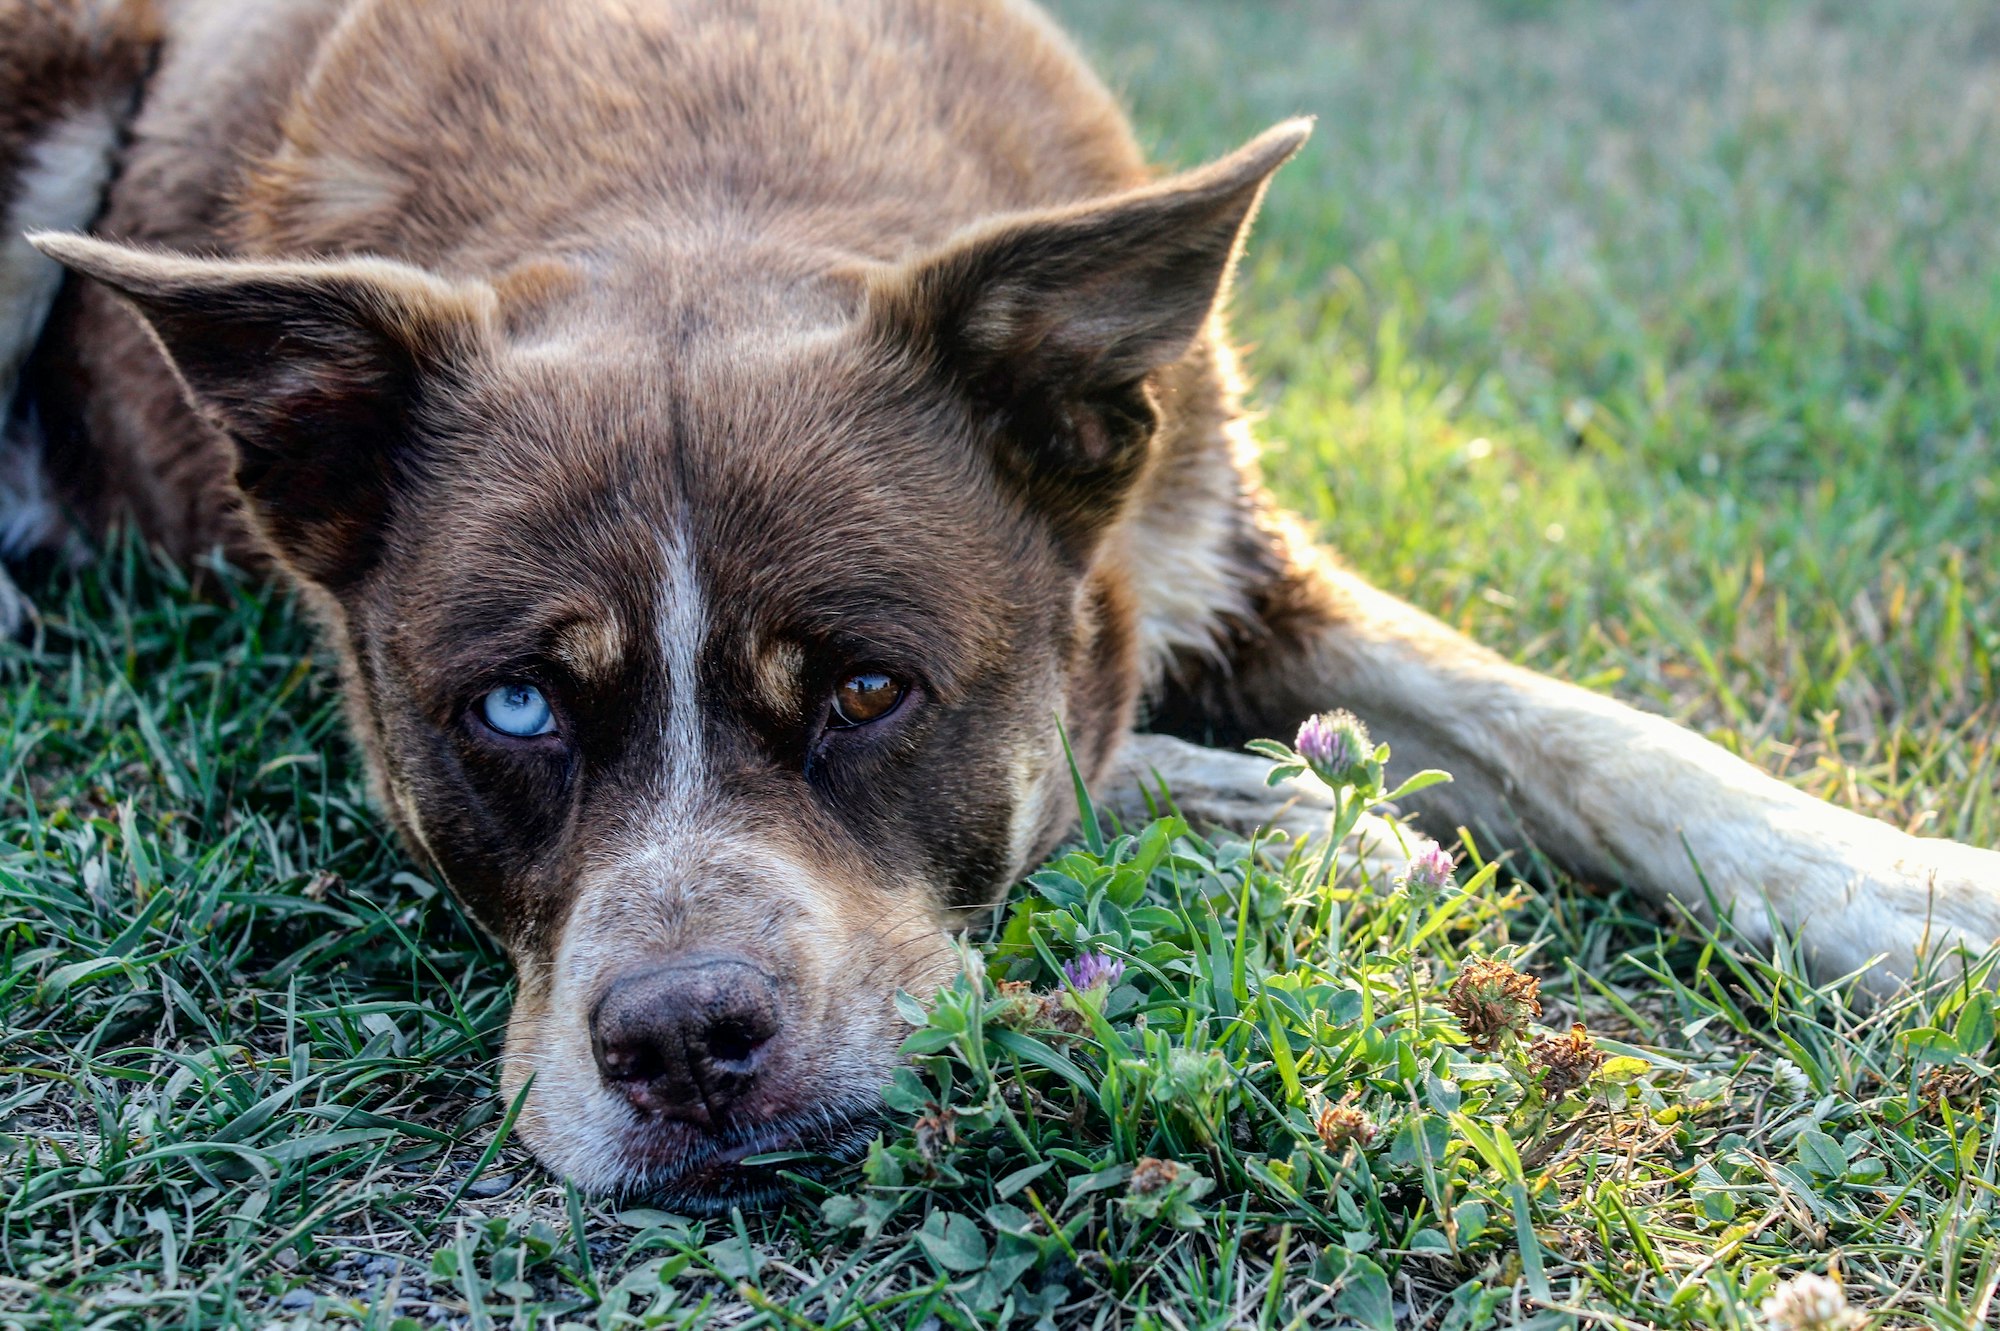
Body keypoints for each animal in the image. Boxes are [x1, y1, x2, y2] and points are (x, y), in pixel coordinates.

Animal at [3, 0, 2000, 1199]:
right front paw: (1295, 822)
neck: (699, 187)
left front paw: (1923, 899)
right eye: (514, 707)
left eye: (869, 690)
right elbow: (1107, 775)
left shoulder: (1220, 530)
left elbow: (1600, 736)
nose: (682, 1044)